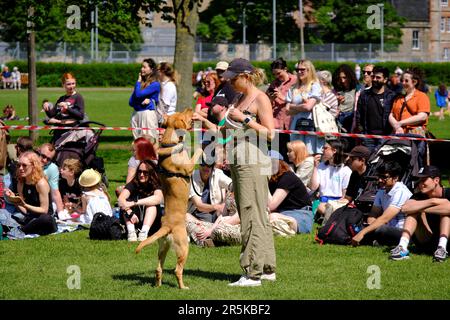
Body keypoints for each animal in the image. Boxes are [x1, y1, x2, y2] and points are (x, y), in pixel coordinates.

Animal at [134, 108, 203, 290]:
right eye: (183, 115)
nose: (191, 109)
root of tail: (167, 226)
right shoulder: (188, 168)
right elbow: (197, 152)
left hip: (162, 247)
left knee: (158, 269)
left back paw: (158, 286)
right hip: (184, 247)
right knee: (178, 270)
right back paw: (183, 287)